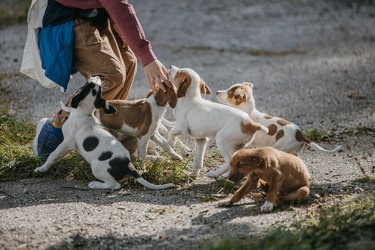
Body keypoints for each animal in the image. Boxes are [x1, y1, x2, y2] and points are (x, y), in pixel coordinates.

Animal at [33, 76, 175, 189]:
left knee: (115, 185)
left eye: (89, 85)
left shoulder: (67, 142)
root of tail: (129, 167)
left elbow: (53, 155)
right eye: (93, 86)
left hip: (96, 167)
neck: (83, 113)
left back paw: (95, 184)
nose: (96, 76)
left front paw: (41, 168)